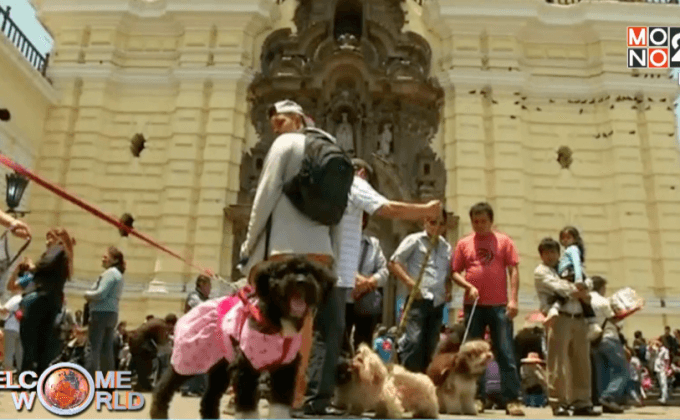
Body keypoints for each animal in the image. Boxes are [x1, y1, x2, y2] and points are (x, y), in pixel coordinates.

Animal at [151, 258, 338, 418]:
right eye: (283, 271)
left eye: (310, 271)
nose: (300, 281)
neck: (278, 321)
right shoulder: (245, 367)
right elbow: (248, 408)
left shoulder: (285, 369)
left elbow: (280, 407)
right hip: (191, 355)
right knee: (163, 387)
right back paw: (158, 412)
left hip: (220, 365)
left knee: (209, 399)